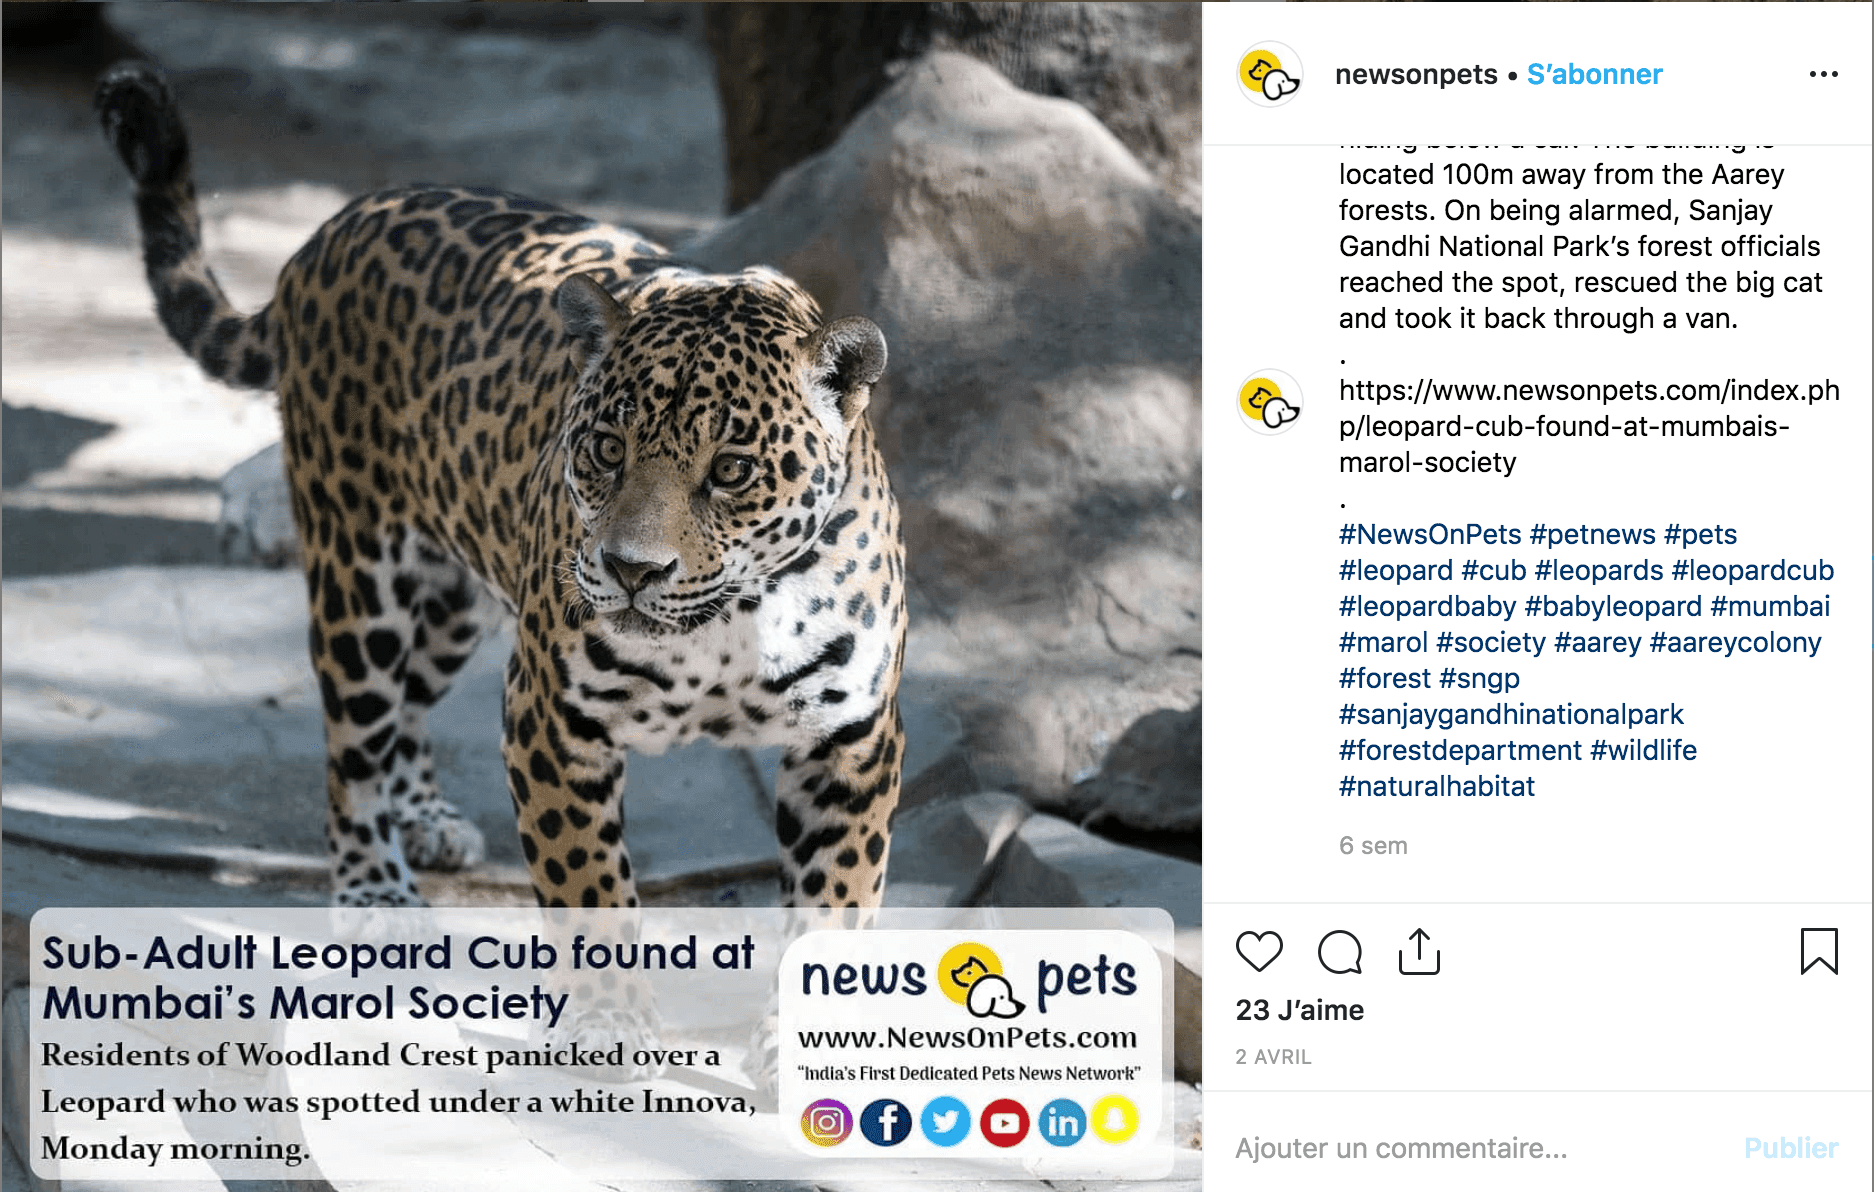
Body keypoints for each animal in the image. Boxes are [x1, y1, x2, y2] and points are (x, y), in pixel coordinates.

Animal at [94, 62, 908, 947]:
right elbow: (595, 915)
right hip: (359, 576)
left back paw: (424, 815)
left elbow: (829, 918)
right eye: (608, 450)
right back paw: (377, 890)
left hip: (461, 592)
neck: (733, 621)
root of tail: (337, 225)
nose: (631, 571)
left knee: (408, 703)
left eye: (730, 470)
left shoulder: (851, 747)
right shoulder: (551, 724)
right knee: (355, 744)